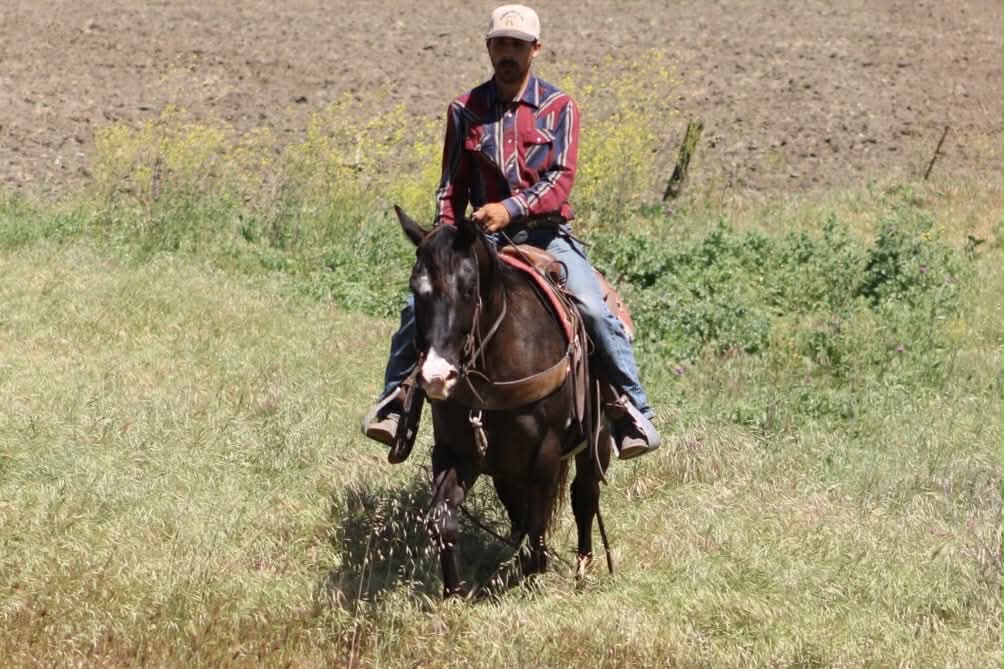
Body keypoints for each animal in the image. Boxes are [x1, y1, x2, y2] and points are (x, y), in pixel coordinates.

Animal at [393, 206, 611, 598]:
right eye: (416, 290)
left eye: (468, 289)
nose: (436, 377)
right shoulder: (455, 450)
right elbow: (443, 519)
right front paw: (453, 594)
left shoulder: (545, 452)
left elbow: (538, 522)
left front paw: (532, 578)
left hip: (595, 439)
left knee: (584, 496)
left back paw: (582, 569)